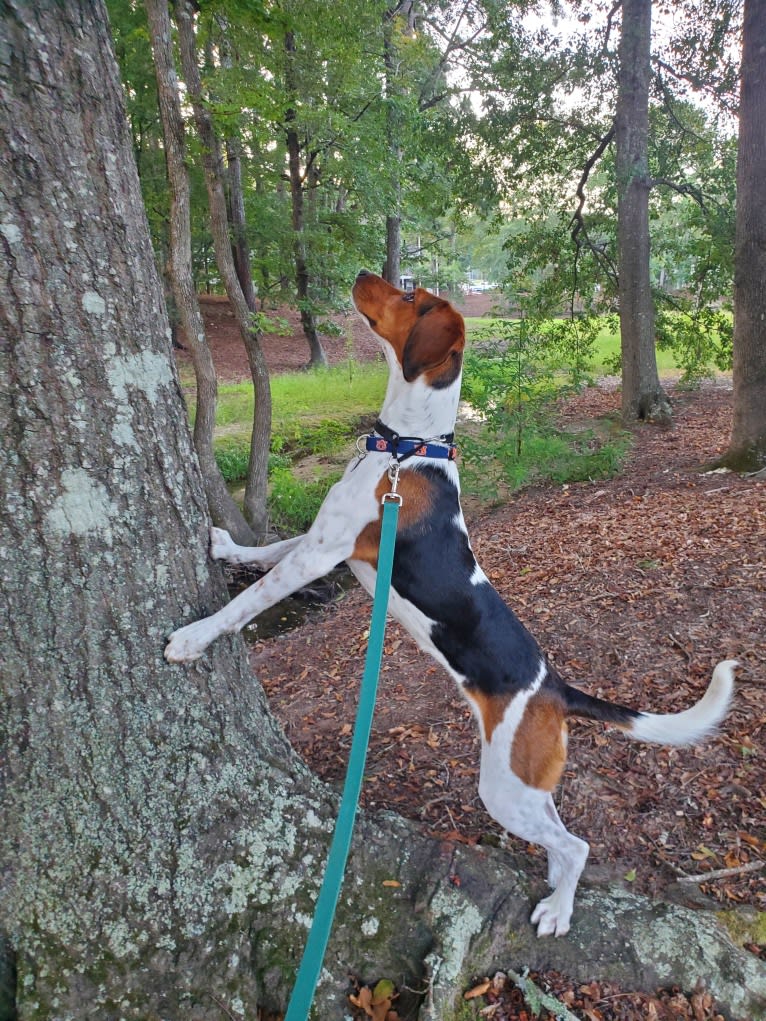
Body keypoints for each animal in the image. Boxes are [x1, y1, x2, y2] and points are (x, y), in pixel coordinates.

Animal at [167, 267, 739, 935]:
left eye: (409, 296)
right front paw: (226, 545)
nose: (362, 273)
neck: (406, 448)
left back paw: (558, 910)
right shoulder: (323, 542)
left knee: (577, 846)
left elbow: (248, 602)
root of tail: (555, 687)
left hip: (504, 789)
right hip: (526, 788)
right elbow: (265, 550)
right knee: (559, 839)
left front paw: (192, 638)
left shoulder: (323, 552)